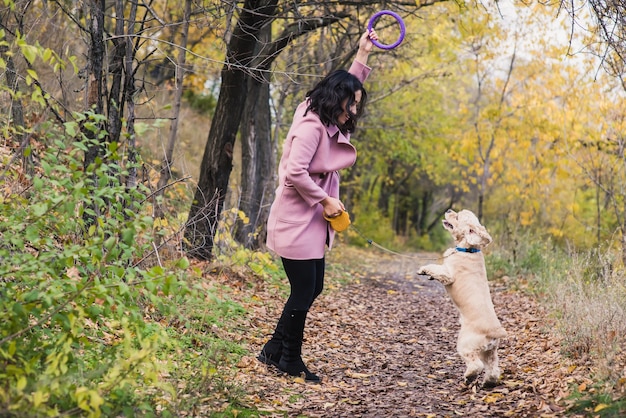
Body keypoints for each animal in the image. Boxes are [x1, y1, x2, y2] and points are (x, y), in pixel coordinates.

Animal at [414, 209, 508, 388]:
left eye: (457, 217)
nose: (449, 210)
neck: (468, 249)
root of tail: (495, 332)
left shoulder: (448, 274)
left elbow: (436, 268)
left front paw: (424, 270)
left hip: (465, 343)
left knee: (476, 365)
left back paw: (469, 377)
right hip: (490, 351)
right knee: (492, 369)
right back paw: (488, 382)